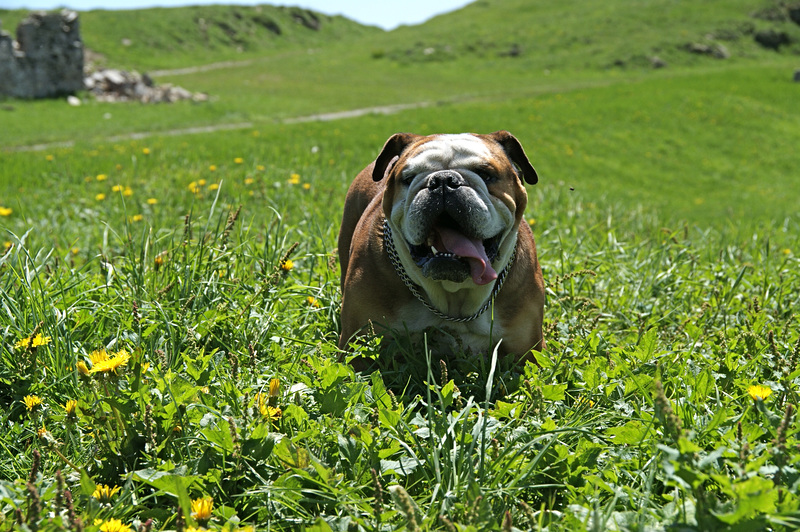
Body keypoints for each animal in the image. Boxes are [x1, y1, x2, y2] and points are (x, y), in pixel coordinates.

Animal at [338, 131, 544, 362]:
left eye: (486, 174)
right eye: (408, 178)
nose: (444, 179)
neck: (452, 296)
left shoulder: (527, 350)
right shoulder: (357, 346)